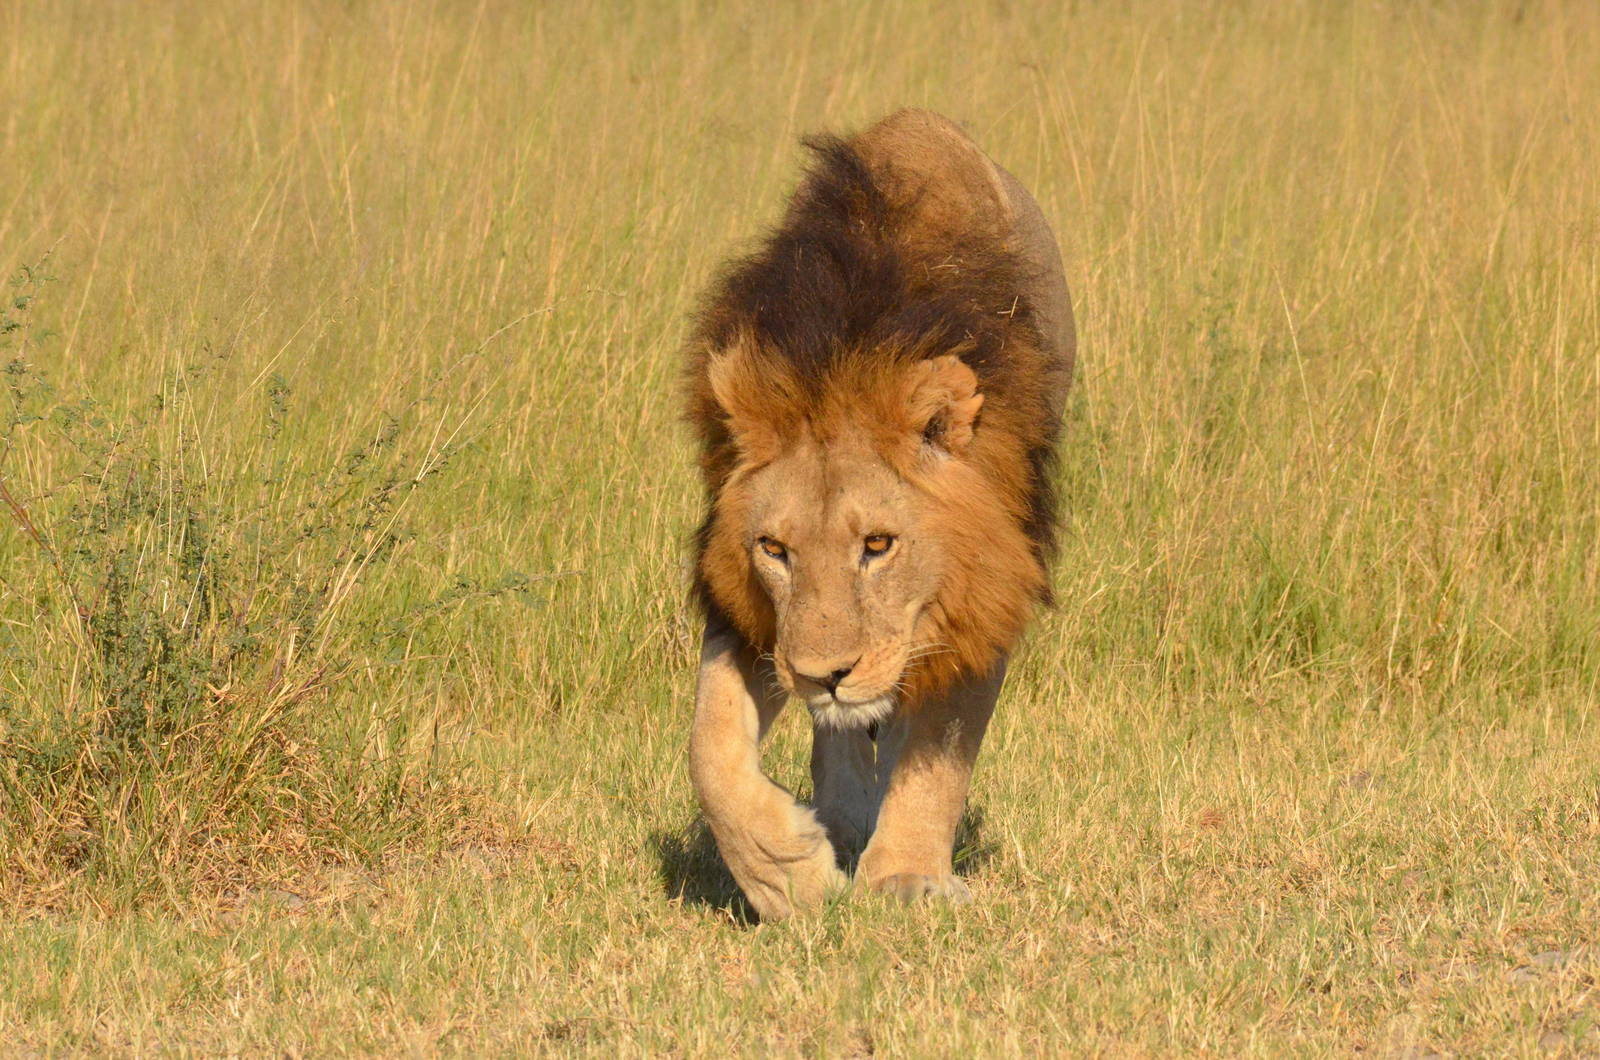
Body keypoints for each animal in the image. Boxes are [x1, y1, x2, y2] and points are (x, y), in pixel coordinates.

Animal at [683, 109, 1075, 919]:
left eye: (879, 544)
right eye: (773, 549)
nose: (821, 675)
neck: (848, 349)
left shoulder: (986, 586)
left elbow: (939, 749)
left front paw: (904, 877)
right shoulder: (749, 609)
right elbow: (709, 743)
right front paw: (785, 874)